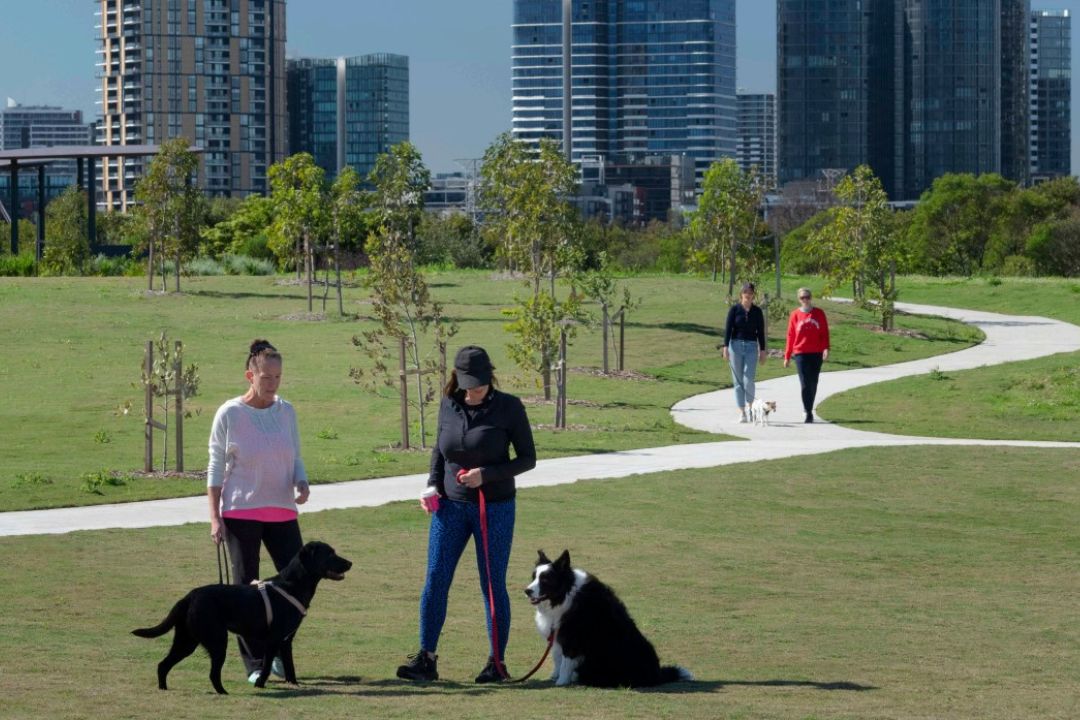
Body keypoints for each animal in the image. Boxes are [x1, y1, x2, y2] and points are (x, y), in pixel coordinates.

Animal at [130, 539, 349, 690]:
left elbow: (290, 666)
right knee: (212, 673)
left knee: (163, 664)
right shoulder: (273, 639)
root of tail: (189, 596)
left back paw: (164, 689)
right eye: (330, 554)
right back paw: (223, 693)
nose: (350, 563)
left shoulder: (286, 641)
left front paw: (293, 684)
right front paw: (260, 684)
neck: (293, 585)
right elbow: (267, 666)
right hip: (217, 640)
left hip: (187, 640)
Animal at [522, 548, 691, 690]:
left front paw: (561, 681)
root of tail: (657, 674)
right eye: (534, 577)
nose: (527, 591)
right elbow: (557, 658)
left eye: (545, 580)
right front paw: (555, 676)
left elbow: (565, 662)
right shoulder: (557, 634)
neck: (565, 595)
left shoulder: (572, 636)